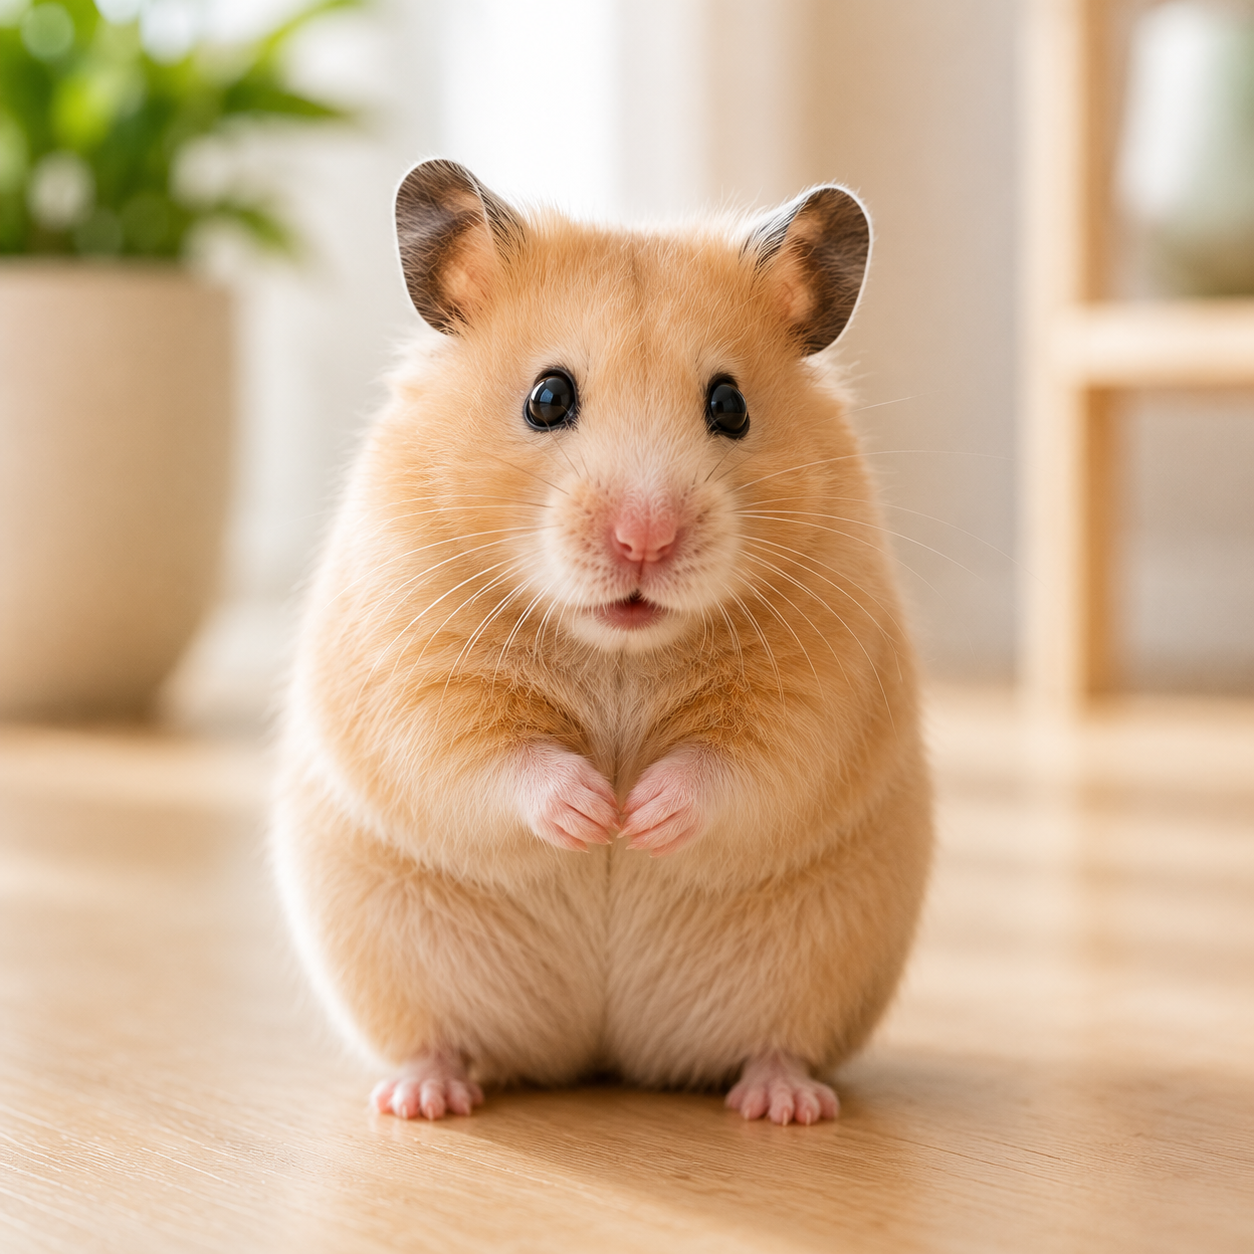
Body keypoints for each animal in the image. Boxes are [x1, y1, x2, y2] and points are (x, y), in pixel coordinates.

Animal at [271, 158, 933, 1126]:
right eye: (548, 398)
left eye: (730, 404)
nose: (643, 540)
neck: (620, 649)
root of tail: (605, 1054)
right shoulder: (418, 665)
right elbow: (492, 759)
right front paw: (596, 816)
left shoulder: (813, 684)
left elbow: (735, 766)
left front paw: (640, 819)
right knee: (441, 1041)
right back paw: (422, 1097)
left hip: (823, 969)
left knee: (779, 1045)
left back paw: (784, 1105)